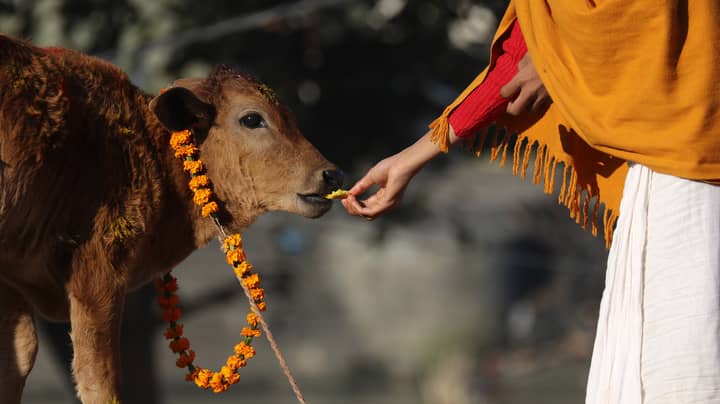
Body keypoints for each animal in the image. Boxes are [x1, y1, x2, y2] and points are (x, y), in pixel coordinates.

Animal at [0, 35, 342, 404]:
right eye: (252, 118)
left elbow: (17, 361)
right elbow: (98, 381)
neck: (149, 149)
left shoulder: (13, 286)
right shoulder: (97, 279)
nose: (331, 174)